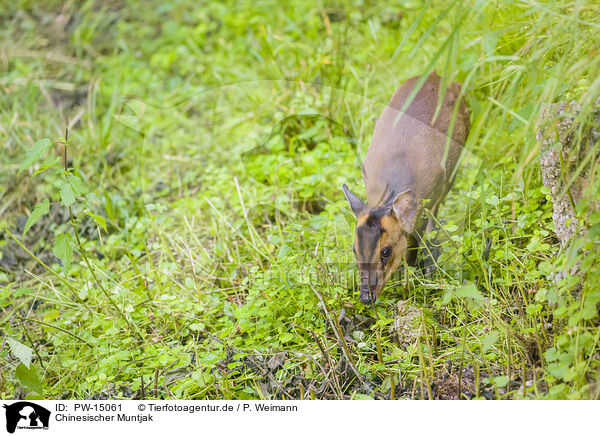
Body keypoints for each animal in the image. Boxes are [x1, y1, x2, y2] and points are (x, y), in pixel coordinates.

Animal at [342, 72, 468, 304]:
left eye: (386, 251)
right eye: (354, 250)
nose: (365, 296)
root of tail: (436, 75)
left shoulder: (426, 202)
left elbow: (413, 244)